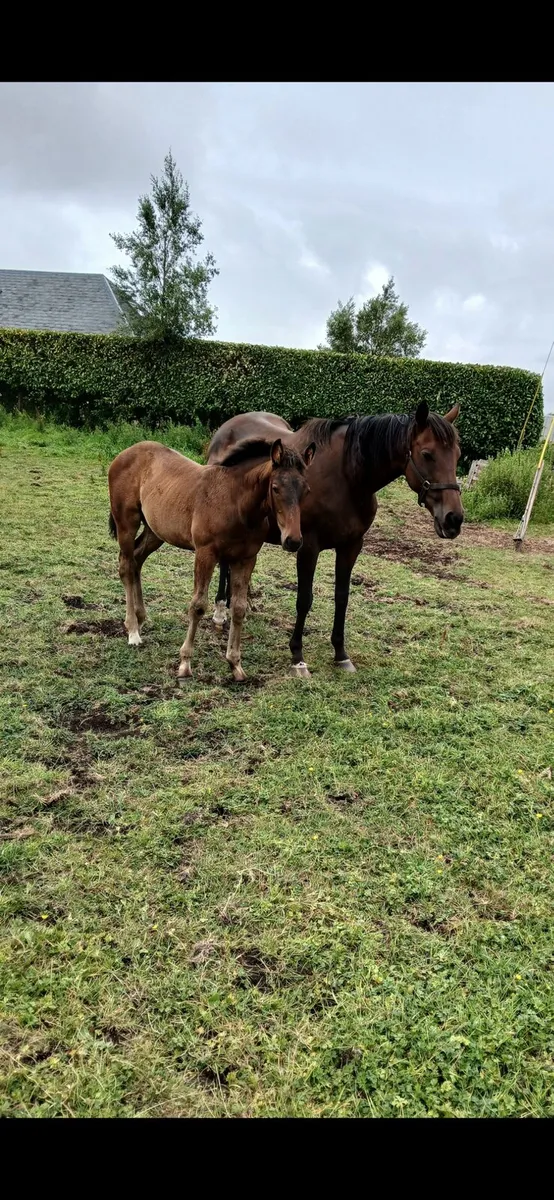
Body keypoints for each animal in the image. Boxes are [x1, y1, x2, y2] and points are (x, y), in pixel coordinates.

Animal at [107, 436, 315, 682]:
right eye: (275, 488)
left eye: (306, 490)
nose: (293, 540)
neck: (236, 503)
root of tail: (125, 453)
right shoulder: (205, 554)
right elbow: (198, 605)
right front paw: (185, 664)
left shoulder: (246, 559)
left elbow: (239, 608)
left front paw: (235, 664)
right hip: (126, 523)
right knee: (126, 566)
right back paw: (132, 630)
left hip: (155, 531)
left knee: (137, 561)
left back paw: (141, 618)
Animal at [207, 401, 463, 678]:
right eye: (427, 454)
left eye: (458, 455)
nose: (454, 519)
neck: (346, 478)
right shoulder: (308, 547)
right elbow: (304, 599)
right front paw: (297, 656)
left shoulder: (351, 546)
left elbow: (342, 597)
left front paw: (341, 654)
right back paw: (220, 611)